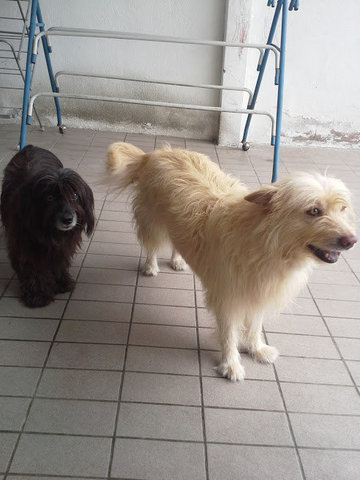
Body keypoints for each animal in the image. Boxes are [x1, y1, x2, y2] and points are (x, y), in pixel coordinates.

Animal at [0, 144, 95, 308]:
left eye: (74, 196)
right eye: (50, 198)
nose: (67, 219)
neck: (51, 231)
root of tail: (30, 146)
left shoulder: (64, 245)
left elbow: (58, 260)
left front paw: (61, 282)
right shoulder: (23, 244)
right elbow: (32, 268)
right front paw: (37, 294)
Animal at [107, 141, 358, 380]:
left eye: (342, 208)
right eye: (314, 211)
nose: (352, 240)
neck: (267, 244)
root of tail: (158, 153)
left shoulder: (257, 294)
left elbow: (255, 326)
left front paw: (256, 349)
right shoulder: (228, 299)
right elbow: (229, 335)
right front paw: (231, 365)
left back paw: (178, 260)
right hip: (152, 220)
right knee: (151, 244)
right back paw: (150, 266)